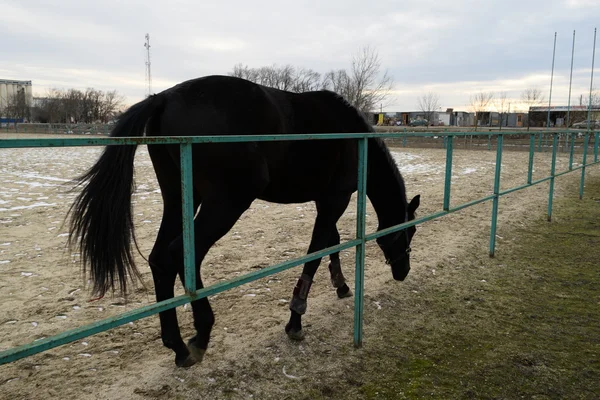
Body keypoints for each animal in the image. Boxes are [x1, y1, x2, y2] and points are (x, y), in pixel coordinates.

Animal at [67, 73, 422, 368]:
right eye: (411, 230)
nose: (404, 271)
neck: (352, 136)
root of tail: (165, 97)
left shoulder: (326, 201)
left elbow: (329, 243)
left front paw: (342, 285)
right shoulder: (336, 199)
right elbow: (315, 253)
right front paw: (296, 320)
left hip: (179, 198)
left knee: (160, 259)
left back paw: (178, 346)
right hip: (226, 204)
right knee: (180, 254)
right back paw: (200, 336)